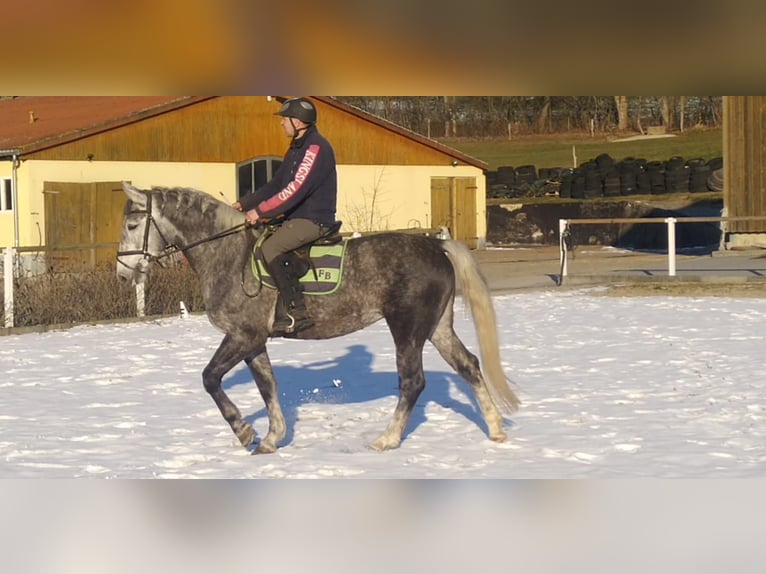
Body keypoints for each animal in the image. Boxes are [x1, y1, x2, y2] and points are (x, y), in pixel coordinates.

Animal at [115, 183, 520, 454]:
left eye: (133, 226)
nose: (122, 274)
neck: (228, 254)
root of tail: (437, 245)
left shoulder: (242, 335)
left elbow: (210, 379)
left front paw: (245, 431)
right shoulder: (254, 341)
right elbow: (268, 387)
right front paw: (272, 438)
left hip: (407, 328)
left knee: (413, 382)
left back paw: (387, 439)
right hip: (436, 328)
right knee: (468, 365)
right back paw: (496, 430)